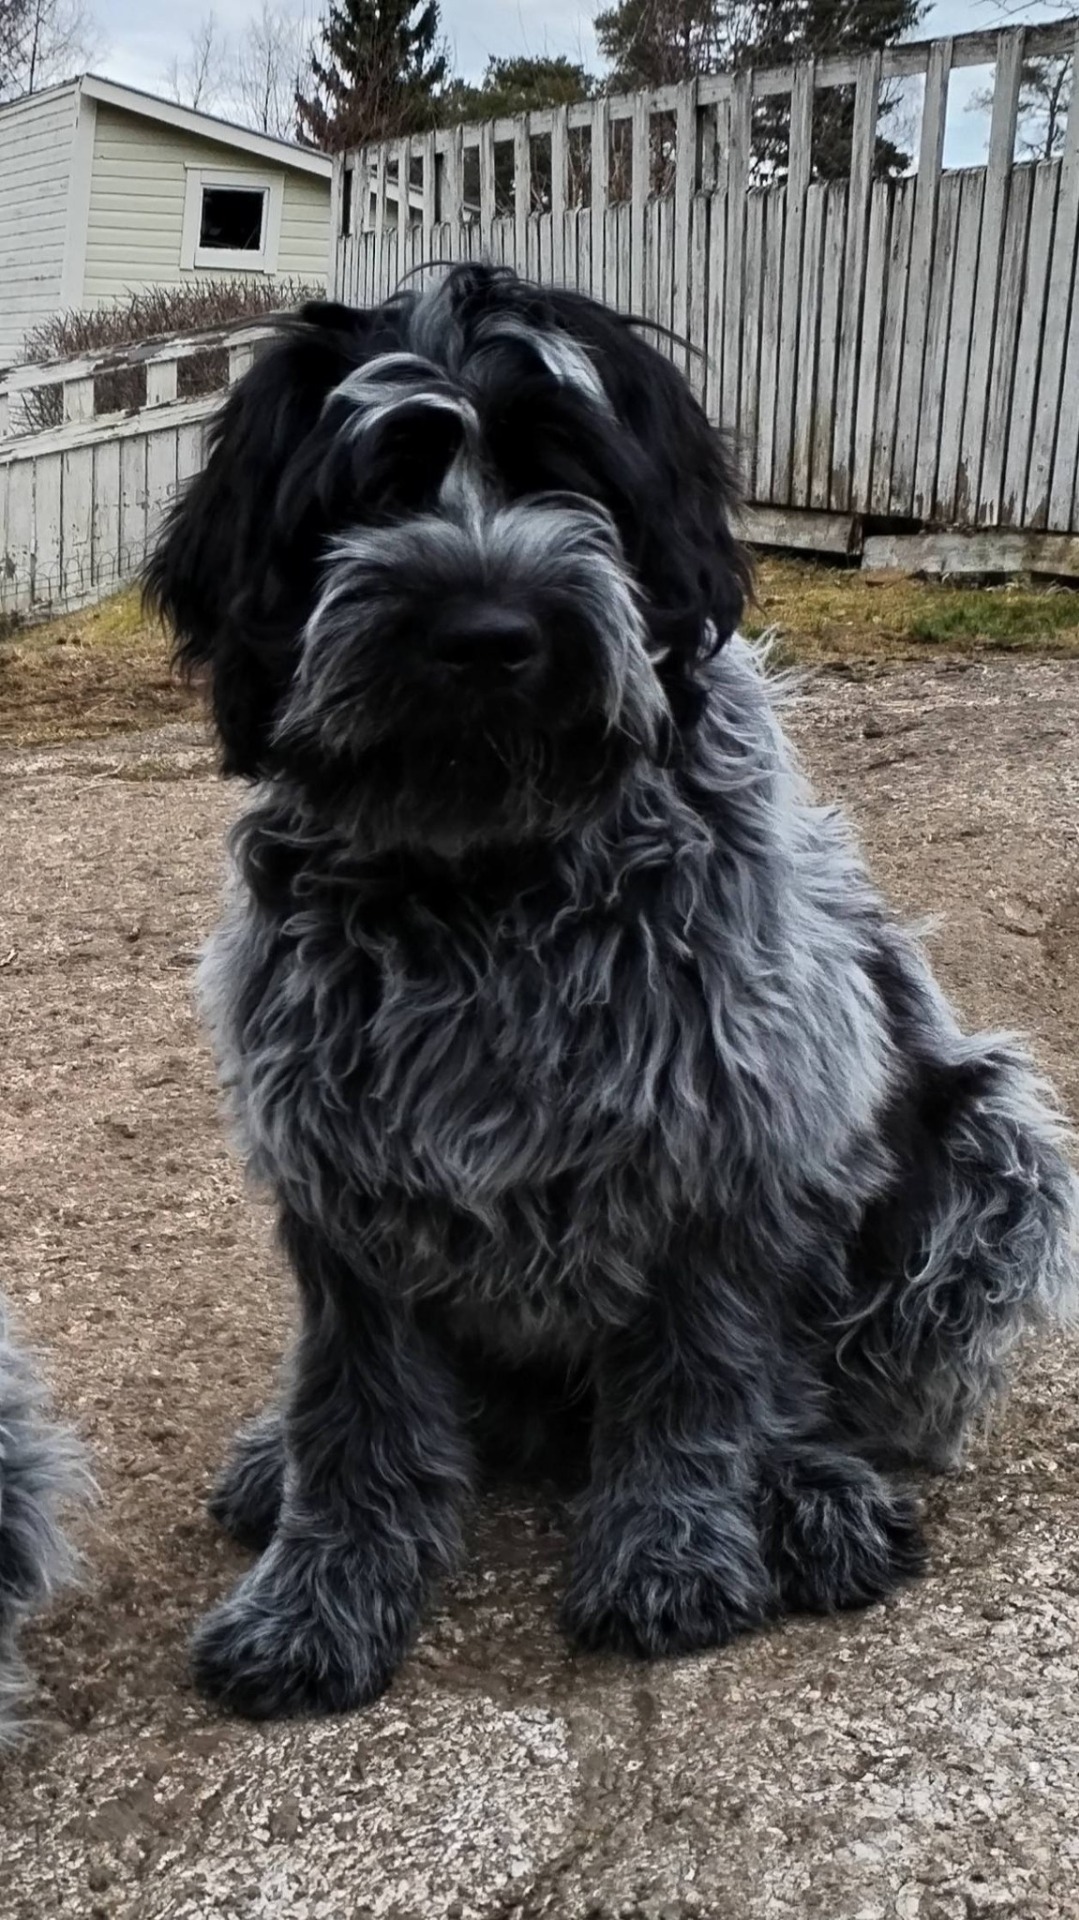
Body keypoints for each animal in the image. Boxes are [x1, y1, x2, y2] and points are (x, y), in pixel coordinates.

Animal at [146, 263, 1078, 1721]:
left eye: (569, 469)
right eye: (374, 488)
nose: (487, 637)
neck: (491, 880)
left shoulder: (722, 1149)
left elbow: (697, 1382)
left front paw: (670, 1553)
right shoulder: (339, 1171)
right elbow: (352, 1419)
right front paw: (315, 1601)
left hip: (989, 1149)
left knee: (819, 1393)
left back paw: (809, 1493)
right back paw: (269, 1463)